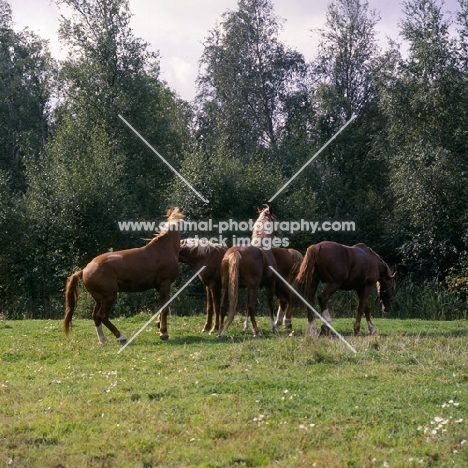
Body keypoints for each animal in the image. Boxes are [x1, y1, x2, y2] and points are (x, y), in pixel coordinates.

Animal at [61, 208, 185, 344]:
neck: (163, 249)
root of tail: (84, 270)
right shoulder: (164, 284)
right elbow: (165, 308)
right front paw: (163, 333)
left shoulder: (159, 287)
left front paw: (159, 325)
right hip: (110, 296)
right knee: (102, 316)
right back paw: (120, 336)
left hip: (99, 298)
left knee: (95, 316)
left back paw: (103, 339)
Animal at [218, 205, 280, 336]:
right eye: (275, 218)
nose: (280, 233)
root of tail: (236, 252)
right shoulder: (270, 284)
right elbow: (270, 305)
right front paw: (274, 327)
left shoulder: (247, 287)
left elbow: (246, 305)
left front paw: (245, 327)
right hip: (254, 287)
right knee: (252, 307)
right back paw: (257, 331)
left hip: (226, 285)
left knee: (223, 305)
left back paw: (220, 330)